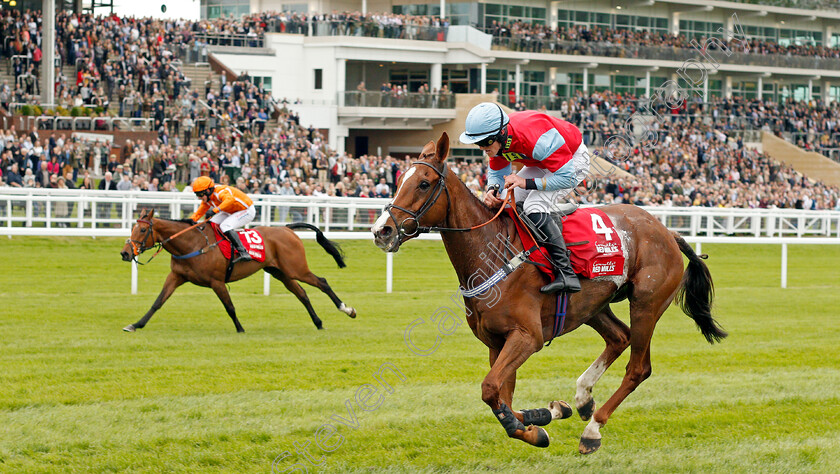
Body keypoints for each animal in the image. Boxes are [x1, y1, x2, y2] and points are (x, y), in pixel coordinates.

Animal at [119, 209, 354, 336]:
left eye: (142, 229)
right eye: (132, 228)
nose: (125, 253)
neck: (192, 244)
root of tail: (287, 228)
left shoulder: (217, 281)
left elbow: (229, 307)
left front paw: (240, 329)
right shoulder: (176, 276)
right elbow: (157, 302)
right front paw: (135, 325)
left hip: (296, 268)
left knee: (322, 282)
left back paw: (347, 309)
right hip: (280, 272)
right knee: (302, 294)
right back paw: (318, 322)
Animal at [370, 133, 724, 456]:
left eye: (424, 183)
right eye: (399, 180)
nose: (381, 230)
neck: (493, 251)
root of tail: (667, 231)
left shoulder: (527, 337)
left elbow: (490, 390)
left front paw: (533, 424)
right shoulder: (496, 342)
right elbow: (502, 397)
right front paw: (544, 416)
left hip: (646, 304)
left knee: (638, 368)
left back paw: (593, 430)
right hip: (593, 306)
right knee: (619, 338)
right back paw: (583, 398)